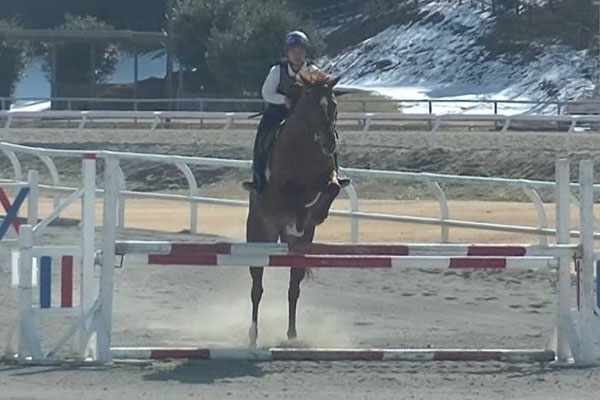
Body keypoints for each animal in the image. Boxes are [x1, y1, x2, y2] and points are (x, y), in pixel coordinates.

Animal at [247, 69, 343, 347]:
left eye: (333, 104)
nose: (329, 143)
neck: (306, 146)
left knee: (293, 287)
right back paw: (253, 335)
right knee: (257, 288)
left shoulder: (328, 176)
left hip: (298, 249)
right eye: (311, 106)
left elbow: (332, 188)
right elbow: (295, 197)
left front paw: (318, 212)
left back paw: (292, 334)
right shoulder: (280, 191)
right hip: (259, 235)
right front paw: (303, 214)